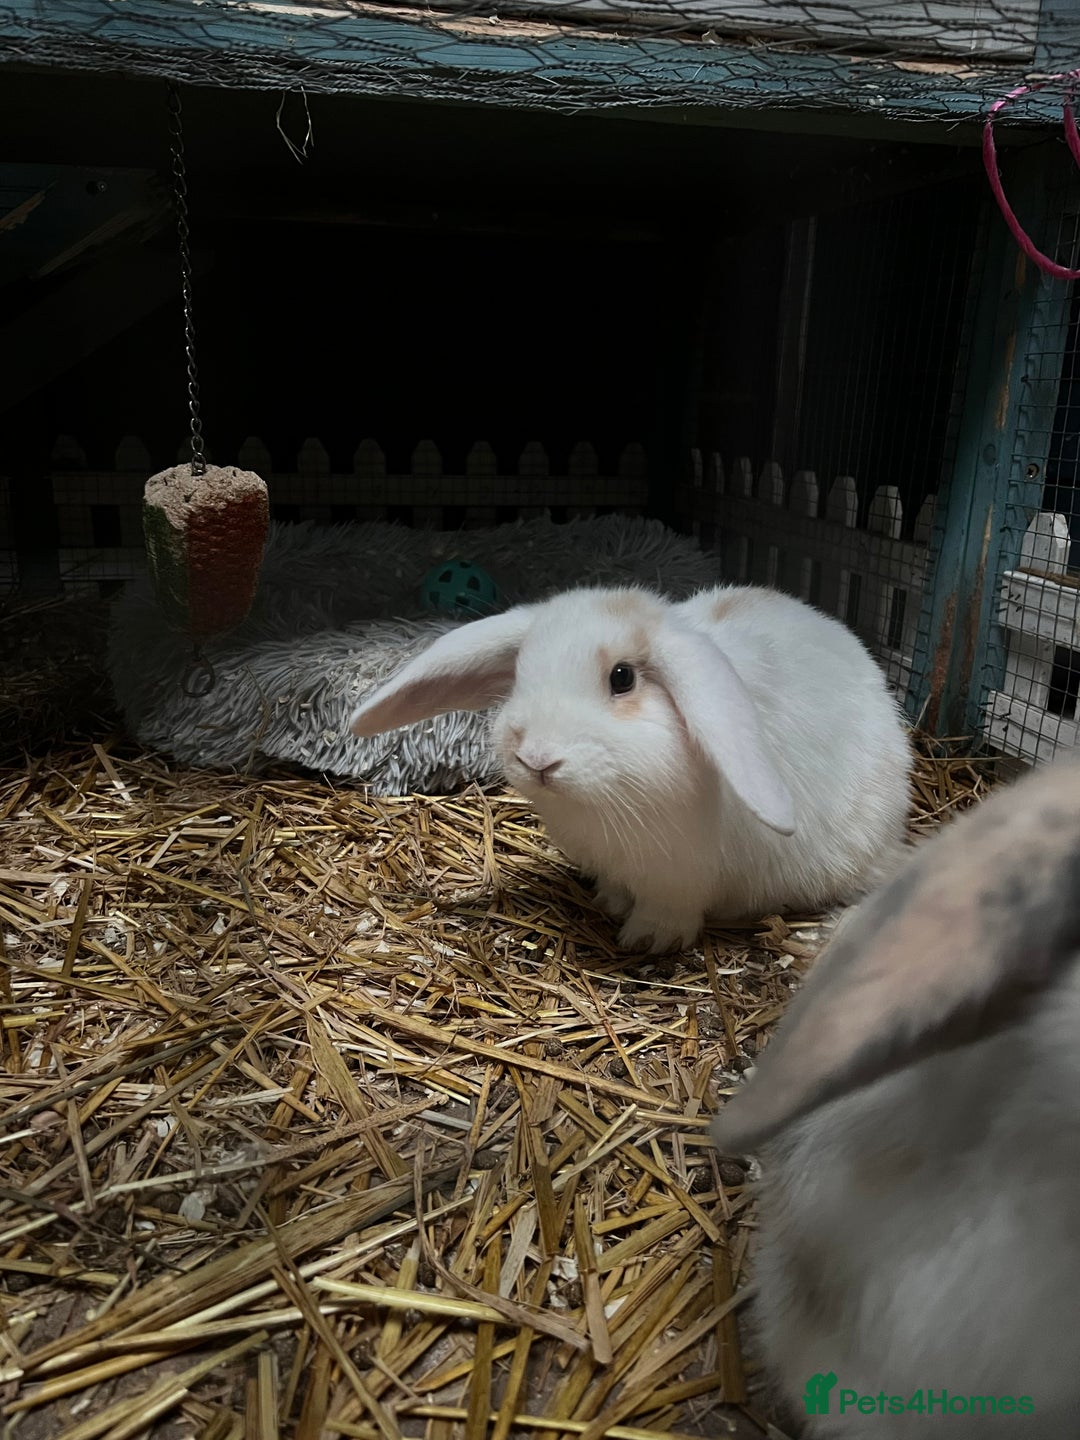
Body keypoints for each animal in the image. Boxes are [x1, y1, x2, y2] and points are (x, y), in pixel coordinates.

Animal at [348, 583, 912, 953]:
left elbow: (669, 912)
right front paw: (611, 903)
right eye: (521, 673)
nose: (537, 758)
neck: (604, 804)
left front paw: (646, 940)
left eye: (622, 678)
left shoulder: (679, 880)